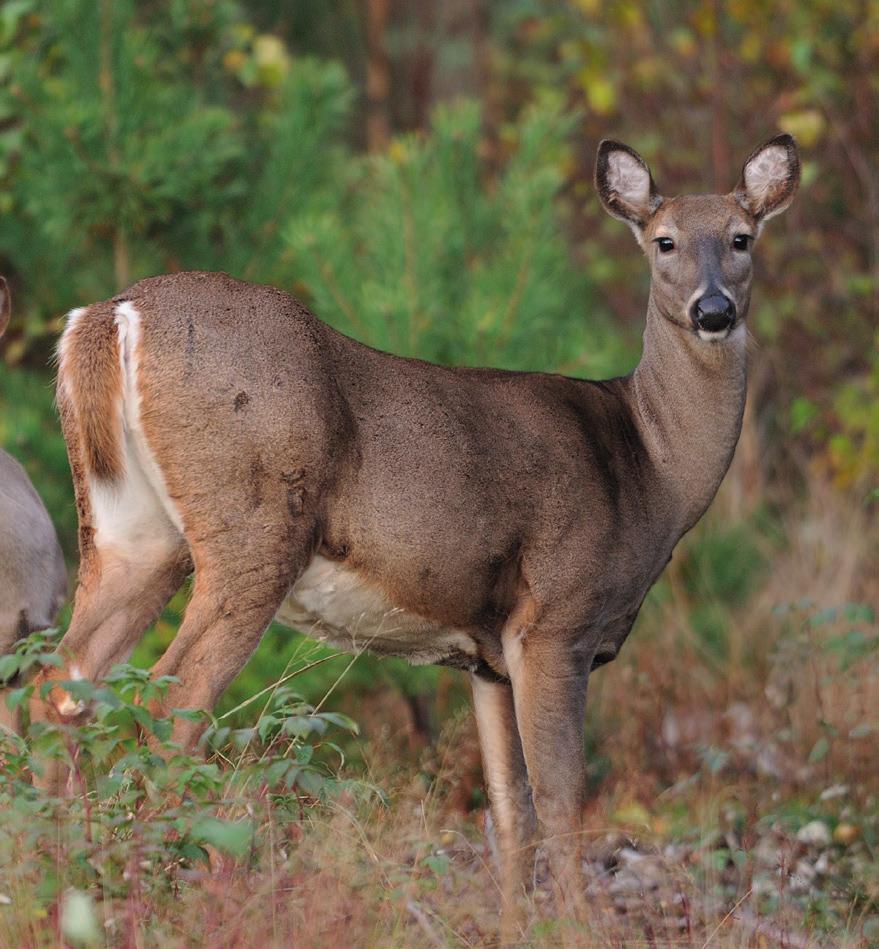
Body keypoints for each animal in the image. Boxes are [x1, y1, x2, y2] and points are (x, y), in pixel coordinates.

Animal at [31, 135, 796, 940]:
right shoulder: (556, 621)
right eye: (663, 241)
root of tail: (113, 314)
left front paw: (511, 929)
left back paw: (57, 881)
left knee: (59, 685)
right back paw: (151, 898)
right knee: (167, 706)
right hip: (253, 531)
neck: (647, 466)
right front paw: (575, 930)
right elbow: (562, 802)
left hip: (133, 535)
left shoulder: (488, 656)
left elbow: (509, 812)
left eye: (741, 238)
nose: (712, 310)